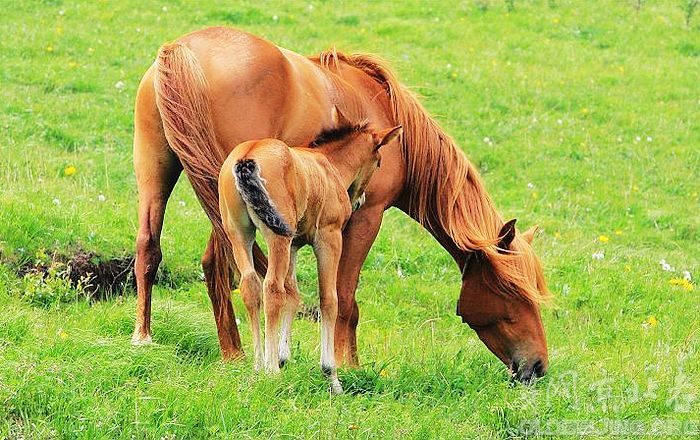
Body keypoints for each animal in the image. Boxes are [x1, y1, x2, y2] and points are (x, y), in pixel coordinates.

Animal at [221, 115, 402, 394]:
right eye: (379, 162)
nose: (358, 201)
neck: (328, 165)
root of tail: (247, 157)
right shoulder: (329, 238)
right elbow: (329, 299)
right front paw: (331, 376)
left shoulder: (295, 244)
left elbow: (293, 294)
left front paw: (283, 356)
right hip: (277, 237)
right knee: (272, 288)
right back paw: (271, 371)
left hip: (239, 233)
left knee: (251, 286)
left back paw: (259, 365)